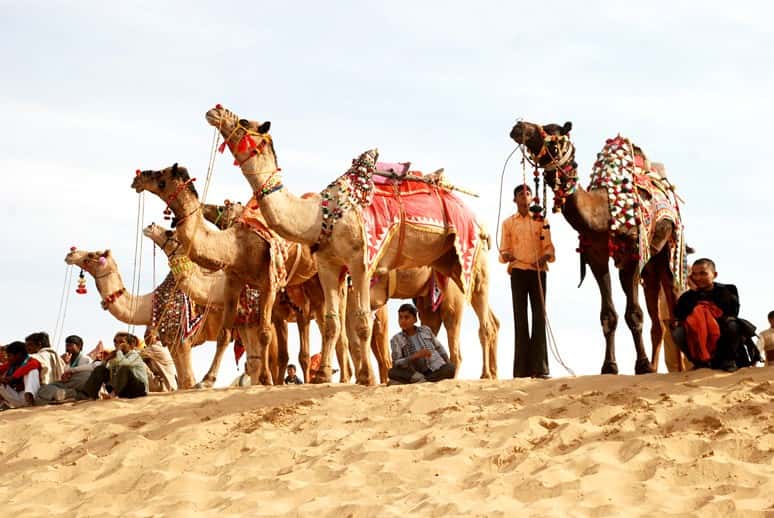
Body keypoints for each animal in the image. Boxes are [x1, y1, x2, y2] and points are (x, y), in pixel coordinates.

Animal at [64, 248, 230, 388]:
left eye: (92, 254)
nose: (71, 253)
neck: (151, 304)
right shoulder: (171, 342)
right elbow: (183, 380)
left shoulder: (181, 336)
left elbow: (188, 379)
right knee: (225, 338)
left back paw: (206, 382)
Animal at [205, 105, 499, 384]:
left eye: (244, 121)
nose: (214, 111)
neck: (320, 216)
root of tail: (479, 221)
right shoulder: (328, 265)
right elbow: (332, 322)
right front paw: (324, 375)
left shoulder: (361, 262)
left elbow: (361, 321)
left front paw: (366, 377)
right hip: (446, 264)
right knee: (481, 319)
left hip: (472, 256)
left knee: (479, 319)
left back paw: (484, 374)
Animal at [510, 120, 687, 374]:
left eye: (551, 131)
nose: (518, 126)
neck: (603, 213)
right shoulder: (596, 255)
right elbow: (608, 315)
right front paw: (609, 366)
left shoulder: (632, 255)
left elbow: (634, 314)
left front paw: (642, 364)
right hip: (650, 265)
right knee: (658, 318)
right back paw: (657, 366)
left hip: (668, 250)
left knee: (672, 304)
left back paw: (679, 367)